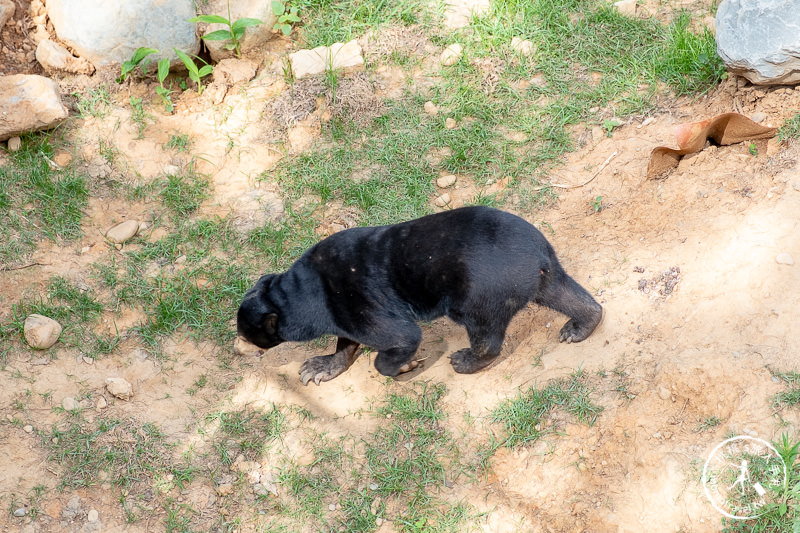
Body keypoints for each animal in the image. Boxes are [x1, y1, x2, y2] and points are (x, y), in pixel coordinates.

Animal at [236, 206, 600, 384]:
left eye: (245, 335)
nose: (237, 349)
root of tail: (535, 255)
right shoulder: (341, 311)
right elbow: (347, 341)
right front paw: (317, 368)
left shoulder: (354, 303)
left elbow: (399, 337)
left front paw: (407, 365)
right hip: (543, 276)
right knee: (565, 294)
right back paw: (579, 326)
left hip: (480, 292)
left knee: (485, 333)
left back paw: (465, 361)